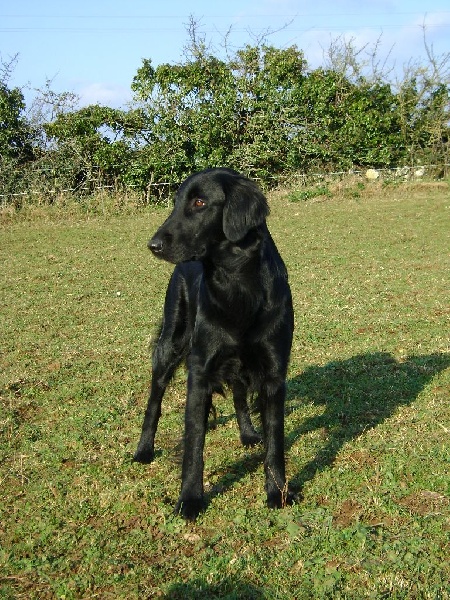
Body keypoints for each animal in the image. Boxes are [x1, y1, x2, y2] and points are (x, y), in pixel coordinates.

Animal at [133, 168, 294, 519]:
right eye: (176, 202)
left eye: (199, 202)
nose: (153, 245)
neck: (237, 286)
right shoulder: (200, 372)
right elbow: (194, 444)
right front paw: (190, 499)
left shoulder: (274, 374)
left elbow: (275, 442)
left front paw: (277, 491)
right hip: (170, 345)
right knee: (154, 400)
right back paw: (143, 450)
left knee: (238, 394)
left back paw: (247, 432)